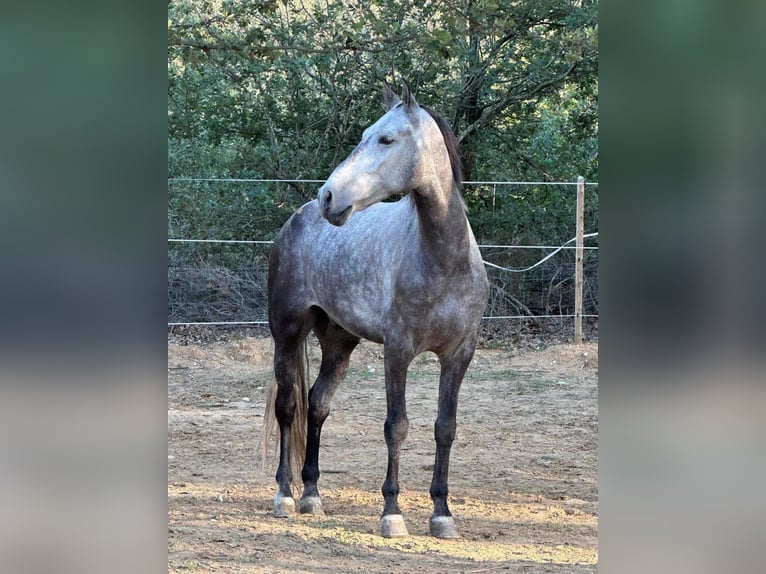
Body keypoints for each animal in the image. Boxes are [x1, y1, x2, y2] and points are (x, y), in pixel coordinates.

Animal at [266, 82, 492, 540]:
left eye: (386, 139)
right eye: (365, 135)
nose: (329, 197)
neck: (444, 261)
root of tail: (297, 219)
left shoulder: (459, 355)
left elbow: (445, 428)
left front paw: (442, 514)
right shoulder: (397, 352)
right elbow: (396, 426)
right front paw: (392, 513)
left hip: (339, 342)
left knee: (317, 404)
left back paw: (312, 495)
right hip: (287, 332)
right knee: (288, 407)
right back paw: (284, 495)